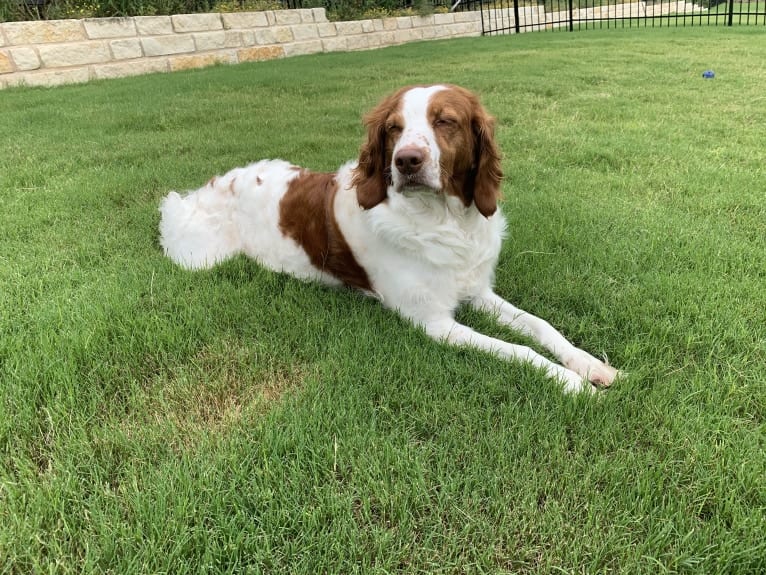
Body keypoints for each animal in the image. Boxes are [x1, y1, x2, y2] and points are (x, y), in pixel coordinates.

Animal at [159, 83, 620, 394]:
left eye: (445, 121)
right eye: (394, 128)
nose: (407, 161)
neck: (443, 221)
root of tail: (201, 191)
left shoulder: (476, 290)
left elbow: (540, 326)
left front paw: (589, 364)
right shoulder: (434, 323)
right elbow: (519, 350)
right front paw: (573, 385)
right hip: (199, 256)